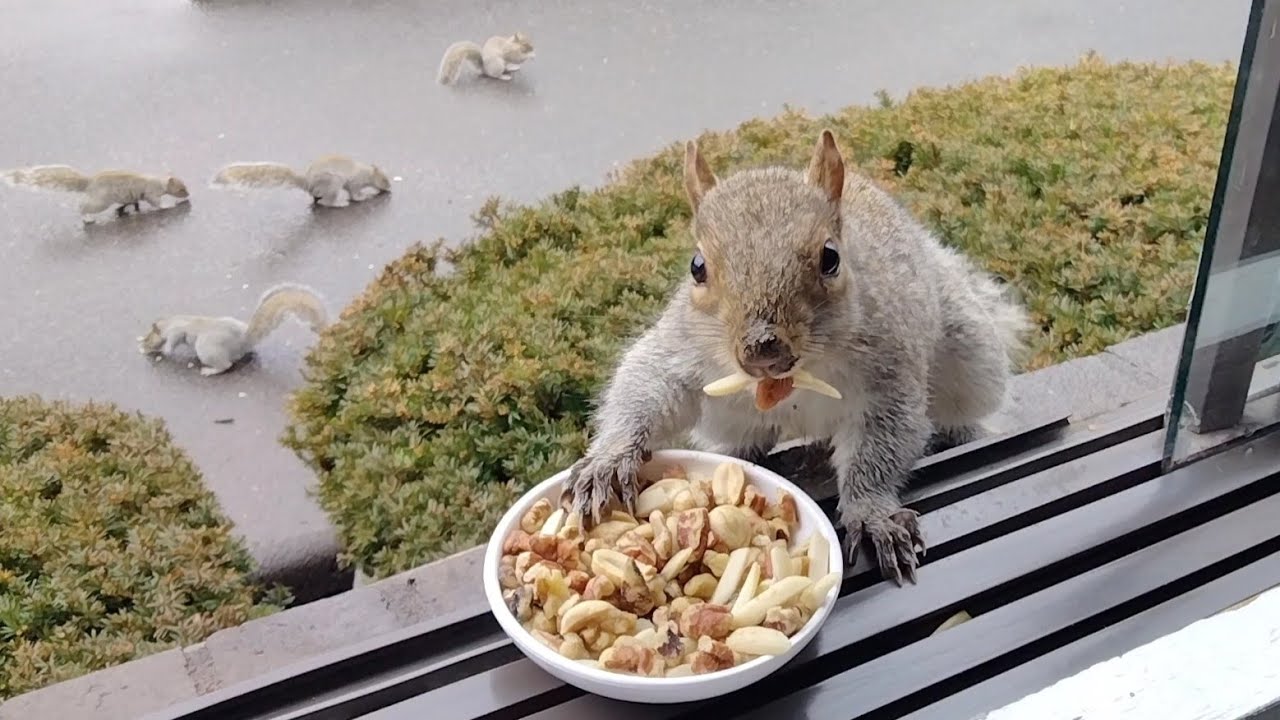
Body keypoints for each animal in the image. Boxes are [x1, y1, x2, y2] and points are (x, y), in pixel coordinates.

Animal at [1, 165, 190, 222]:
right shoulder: (151, 192)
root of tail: (90, 182)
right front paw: (168, 205)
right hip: (100, 201)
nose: (188, 194)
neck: (159, 181)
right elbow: (156, 202)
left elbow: (133, 203)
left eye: (185, 185)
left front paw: (130, 209)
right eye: (181, 189)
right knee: (83, 207)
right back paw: (87, 218)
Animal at [139, 283, 329, 376]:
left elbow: (172, 343)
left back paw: (209, 371)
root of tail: (243, 341)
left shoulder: (177, 331)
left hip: (207, 348)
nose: (145, 348)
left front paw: (163, 351)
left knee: (226, 365)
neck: (169, 322)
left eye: (149, 338)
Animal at [210, 155, 392, 208]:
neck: (366, 172)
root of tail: (308, 184)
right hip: (332, 183)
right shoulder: (355, 182)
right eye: (384, 179)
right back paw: (339, 203)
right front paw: (363, 197)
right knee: (325, 202)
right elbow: (354, 193)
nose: (390, 188)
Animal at [563, 130, 1029, 586]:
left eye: (831, 258)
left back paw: (966, 430)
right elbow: (646, 387)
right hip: (730, 419)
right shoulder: (682, 347)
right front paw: (609, 461)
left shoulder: (889, 373)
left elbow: (882, 444)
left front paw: (871, 513)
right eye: (697, 266)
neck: (792, 380)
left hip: (971, 354)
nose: (762, 349)